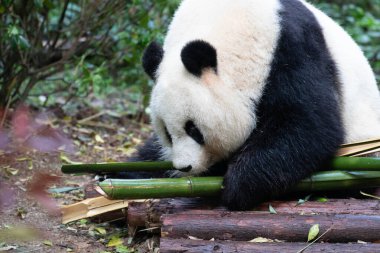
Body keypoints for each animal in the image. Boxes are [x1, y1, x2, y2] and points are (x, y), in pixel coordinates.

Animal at [130, 0, 380, 210]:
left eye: (194, 129)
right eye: (167, 133)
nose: (184, 167)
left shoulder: (293, 48)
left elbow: (310, 124)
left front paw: (237, 185)